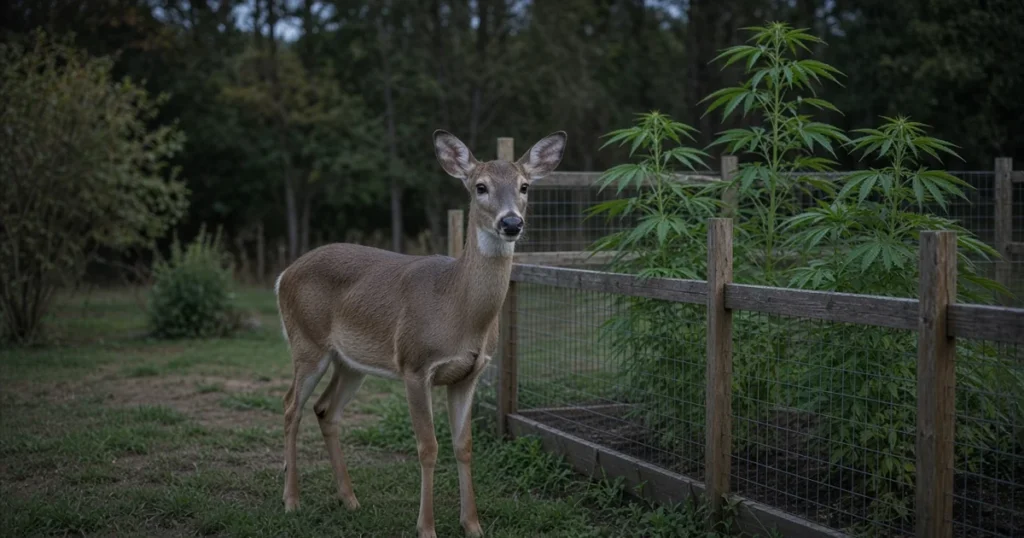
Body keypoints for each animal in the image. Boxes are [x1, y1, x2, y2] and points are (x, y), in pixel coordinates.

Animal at [273, 130, 567, 538]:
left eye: (525, 186)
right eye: (480, 187)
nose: (511, 222)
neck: (458, 311)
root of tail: (284, 275)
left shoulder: (469, 373)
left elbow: (464, 446)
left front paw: (472, 524)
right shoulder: (415, 365)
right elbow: (428, 446)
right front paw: (426, 527)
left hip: (351, 362)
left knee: (325, 410)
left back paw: (350, 499)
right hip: (307, 343)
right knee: (290, 407)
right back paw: (291, 500)